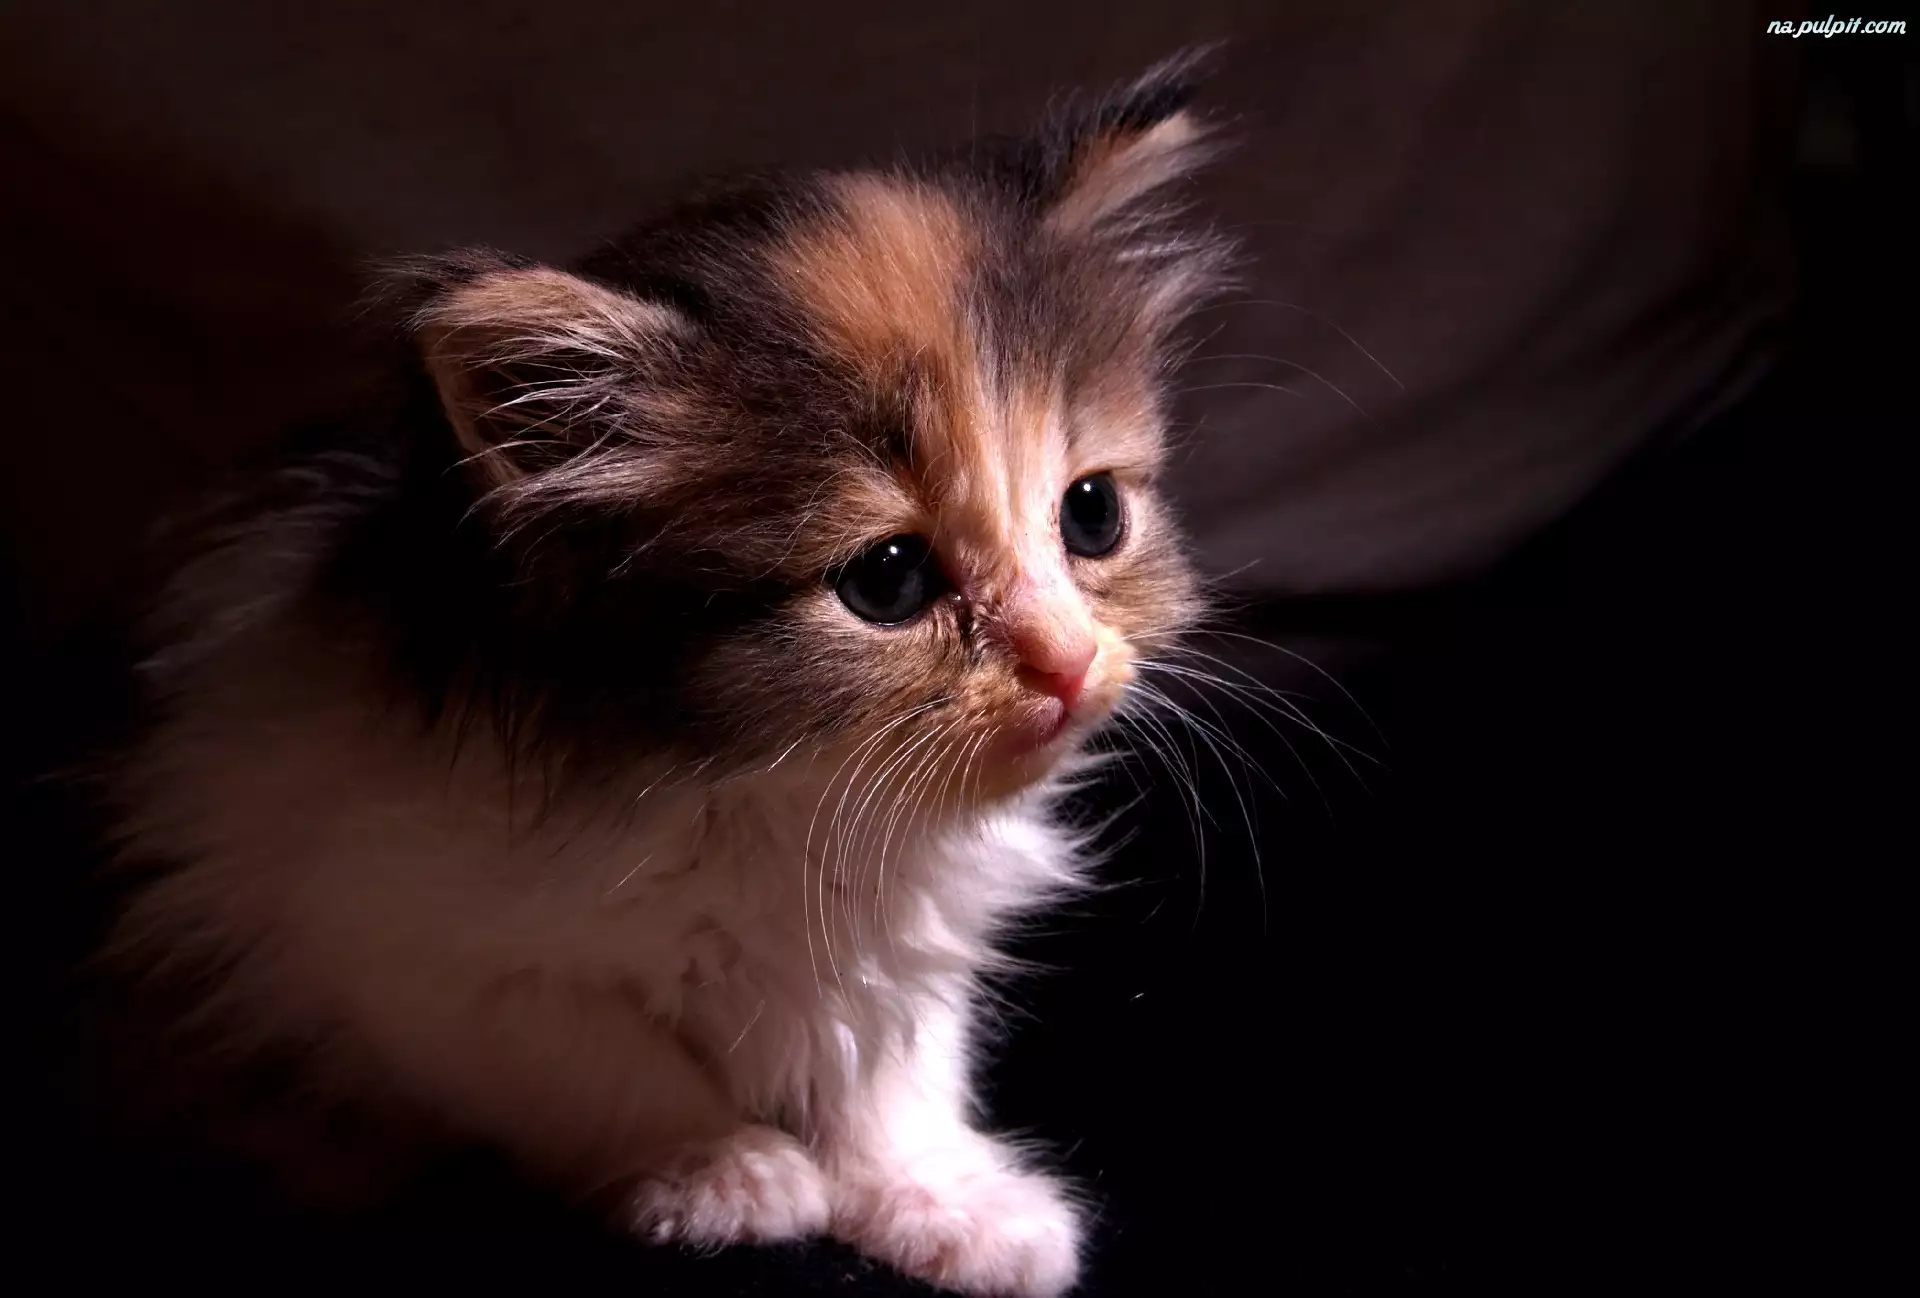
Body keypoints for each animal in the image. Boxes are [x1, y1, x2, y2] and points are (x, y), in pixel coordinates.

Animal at [99, 55, 1231, 1298]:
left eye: (1093, 514)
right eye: (888, 578)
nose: (1068, 660)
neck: (770, 799)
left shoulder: (905, 944)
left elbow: (896, 1071)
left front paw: (944, 1197)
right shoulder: (399, 948)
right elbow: (592, 1057)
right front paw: (721, 1169)